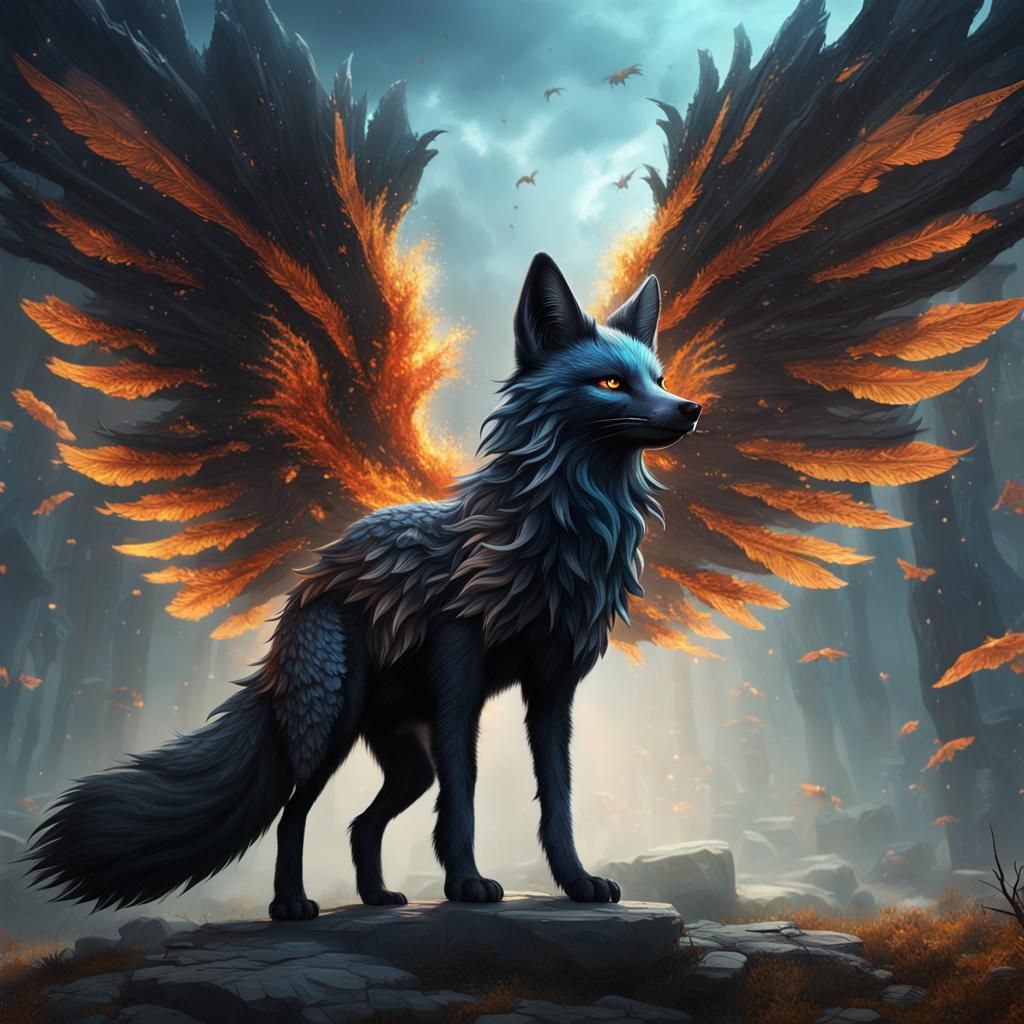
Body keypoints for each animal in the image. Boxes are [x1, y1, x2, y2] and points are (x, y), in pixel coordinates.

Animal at [26, 253, 701, 920]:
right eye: (611, 383)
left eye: (658, 378)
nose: (690, 409)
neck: (553, 536)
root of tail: (307, 587)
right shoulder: (460, 678)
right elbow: (464, 794)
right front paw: (467, 884)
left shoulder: (553, 687)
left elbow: (557, 796)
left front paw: (577, 882)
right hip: (333, 728)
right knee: (293, 815)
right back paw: (291, 904)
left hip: (406, 763)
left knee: (359, 823)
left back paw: (376, 896)